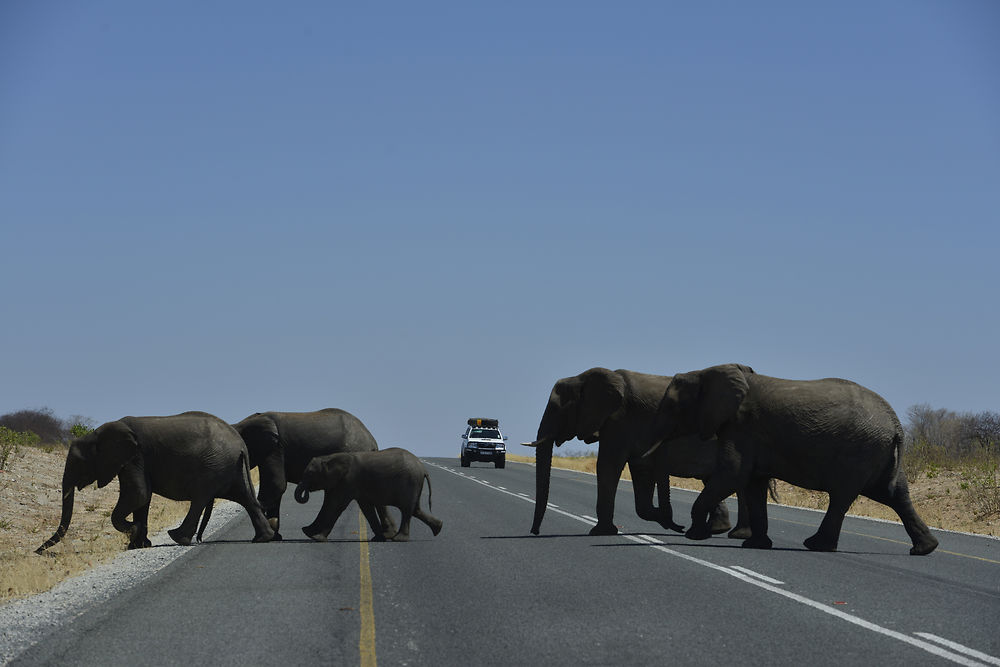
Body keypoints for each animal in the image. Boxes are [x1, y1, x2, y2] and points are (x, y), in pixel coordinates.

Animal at [35, 412, 276, 552]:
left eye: (78, 462)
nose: (38, 552)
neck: (98, 433)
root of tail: (241, 445)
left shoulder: (135, 456)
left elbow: (138, 494)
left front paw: (133, 532)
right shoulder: (132, 460)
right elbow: (142, 499)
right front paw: (139, 543)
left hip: (213, 466)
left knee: (200, 498)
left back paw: (177, 537)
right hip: (232, 469)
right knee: (247, 499)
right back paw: (263, 538)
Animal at [230, 408, 394, 544]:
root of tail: (372, 442)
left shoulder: (275, 449)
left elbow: (276, 486)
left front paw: (269, 535)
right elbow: (275, 488)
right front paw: (275, 536)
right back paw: (387, 535)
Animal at [292, 448, 442, 544]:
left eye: (310, 474)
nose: (306, 491)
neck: (331, 457)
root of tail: (423, 469)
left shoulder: (349, 481)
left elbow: (336, 504)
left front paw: (317, 538)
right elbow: (366, 508)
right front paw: (378, 539)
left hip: (411, 482)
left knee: (406, 510)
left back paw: (399, 539)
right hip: (414, 484)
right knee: (415, 510)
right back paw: (438, 529)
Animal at [524, 368, 752, 540]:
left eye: (557, 409)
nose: (534, 532)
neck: (583, 377)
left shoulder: (621, 420)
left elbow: (608, 465)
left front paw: (599, 533)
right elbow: (640, 469)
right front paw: (665, 519)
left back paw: (732, 534)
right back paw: (719, 531)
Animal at [640, 362, 936, 556]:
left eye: (671, 405)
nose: (677, 529)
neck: (708, 372)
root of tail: (896, 424)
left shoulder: (743, 427)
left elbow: (733, 473)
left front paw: (694, 536)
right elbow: (752, 483)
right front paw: (755, 545)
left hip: (860, 451)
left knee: (842, 496)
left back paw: (815, 546)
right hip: (878, 454)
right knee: (894, 494)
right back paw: (925, 549)